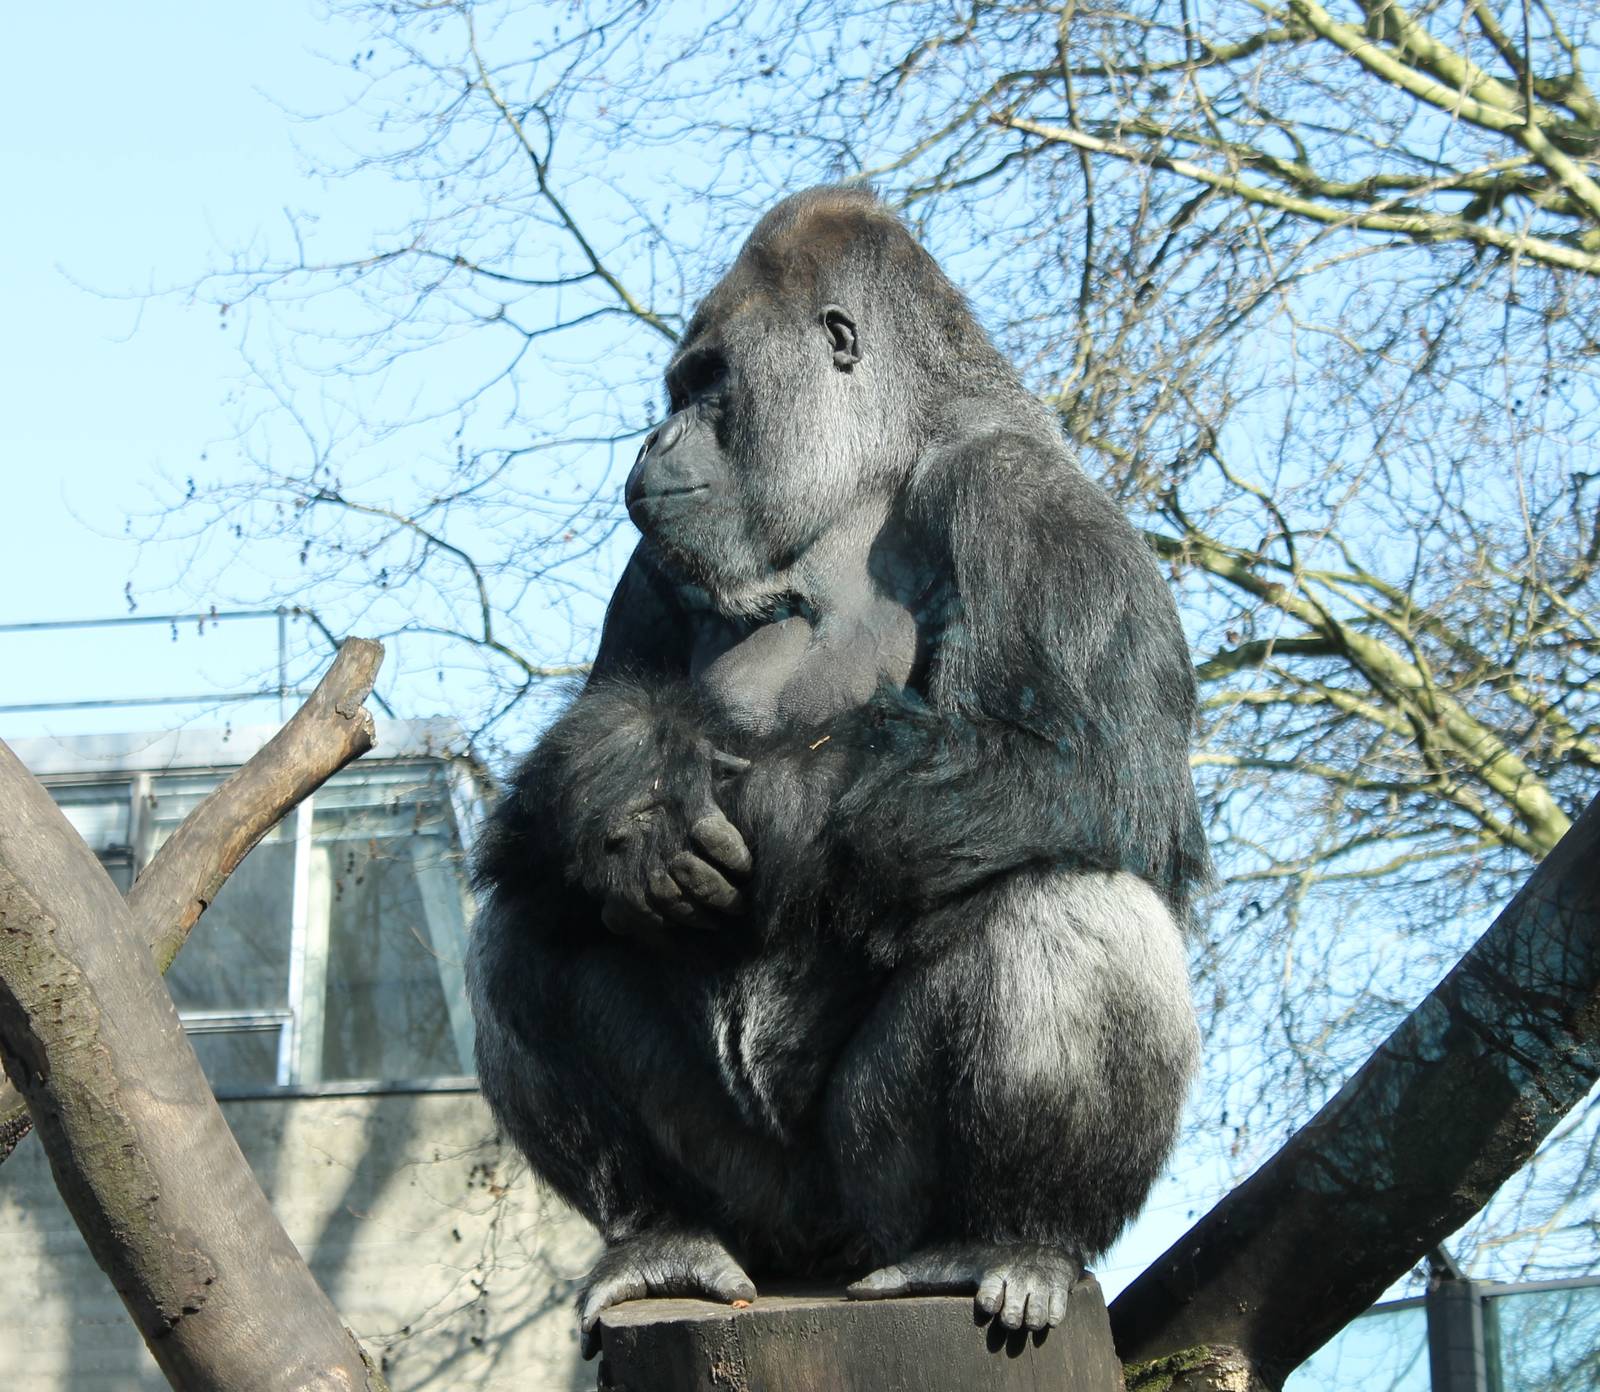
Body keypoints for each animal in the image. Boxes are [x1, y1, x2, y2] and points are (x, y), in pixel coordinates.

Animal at [468, 185, 1209, 1353]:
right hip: (755, 1208)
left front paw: (752, 804)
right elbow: (568, 765)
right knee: (530, 917)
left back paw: (1009, 1234)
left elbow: (1097, 772)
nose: (658, 435)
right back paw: (655, 1233)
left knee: (1073, 893)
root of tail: (809, 1263)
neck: (866, 477)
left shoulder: (1030, 498)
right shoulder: (652, 566)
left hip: (873, 1202)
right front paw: (624, 789)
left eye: (707, 384)